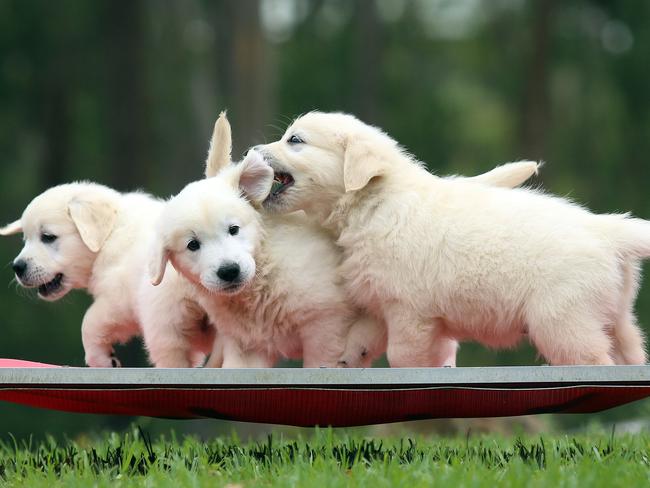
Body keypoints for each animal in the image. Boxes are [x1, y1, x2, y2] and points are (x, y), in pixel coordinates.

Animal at [256, 111, 644, 366]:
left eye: (295, 140)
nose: (254, 151)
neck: (375, 203)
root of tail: (607, 231)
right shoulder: (388, 301)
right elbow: (363, 335)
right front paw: (346, 358)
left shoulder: (408, 310)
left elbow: (402, 357)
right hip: (616, 319)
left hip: (563, 320)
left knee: (594, 361)